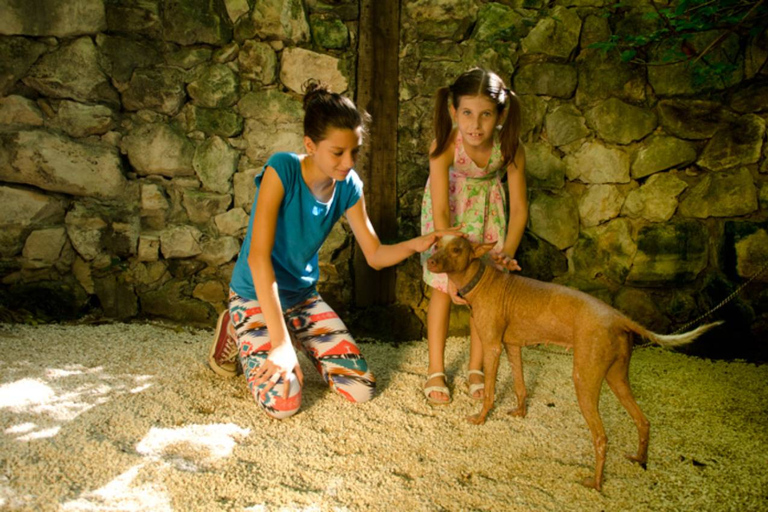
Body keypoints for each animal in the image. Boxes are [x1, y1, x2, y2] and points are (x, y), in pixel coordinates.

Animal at [426, 236, 720, 492]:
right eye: (437, 244)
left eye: (457, 249)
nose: (430, 260)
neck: (482, 280)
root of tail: (618, 317)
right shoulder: (513, 346)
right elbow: (521, 386)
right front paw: (520, 412)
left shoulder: (492, 347)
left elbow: (488, 391)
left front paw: (481, 417)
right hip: (617, 378)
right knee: (643, 421)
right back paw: (640, 459)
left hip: (584, 379)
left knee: (601, 437)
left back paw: (596, 483)